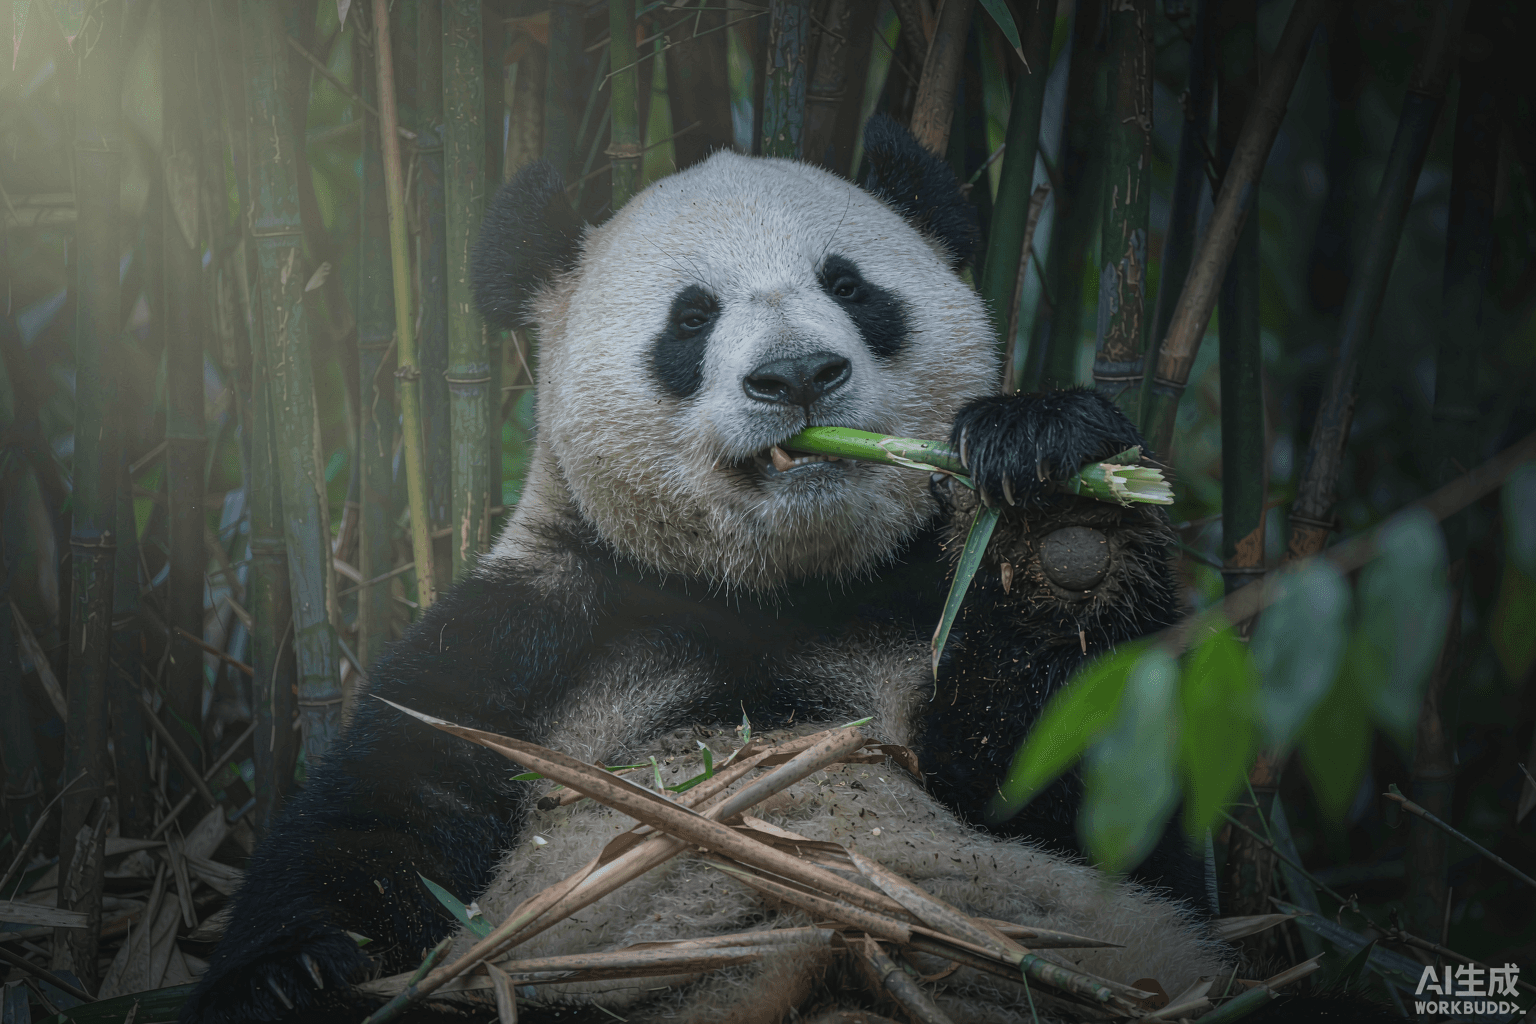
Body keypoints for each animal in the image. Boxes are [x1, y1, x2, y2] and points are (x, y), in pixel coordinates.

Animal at [182, 117, 1311, 1023]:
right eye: (691, 317)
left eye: (850, 285)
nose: (798, 374)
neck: (773, 590)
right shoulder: (534, 629)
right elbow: (385, 811)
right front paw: (292, 973)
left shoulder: (921, 610)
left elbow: (1102, 811)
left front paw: (1059, 500)